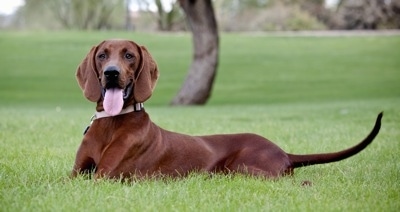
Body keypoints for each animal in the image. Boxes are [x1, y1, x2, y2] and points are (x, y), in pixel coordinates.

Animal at [71, 39, 382, 180]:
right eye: (102, 55)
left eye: (129, 55)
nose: (111, 73)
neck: (111, 122)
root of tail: (284, 151)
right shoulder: (77, 173)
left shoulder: (105, 177)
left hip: (242, 168)